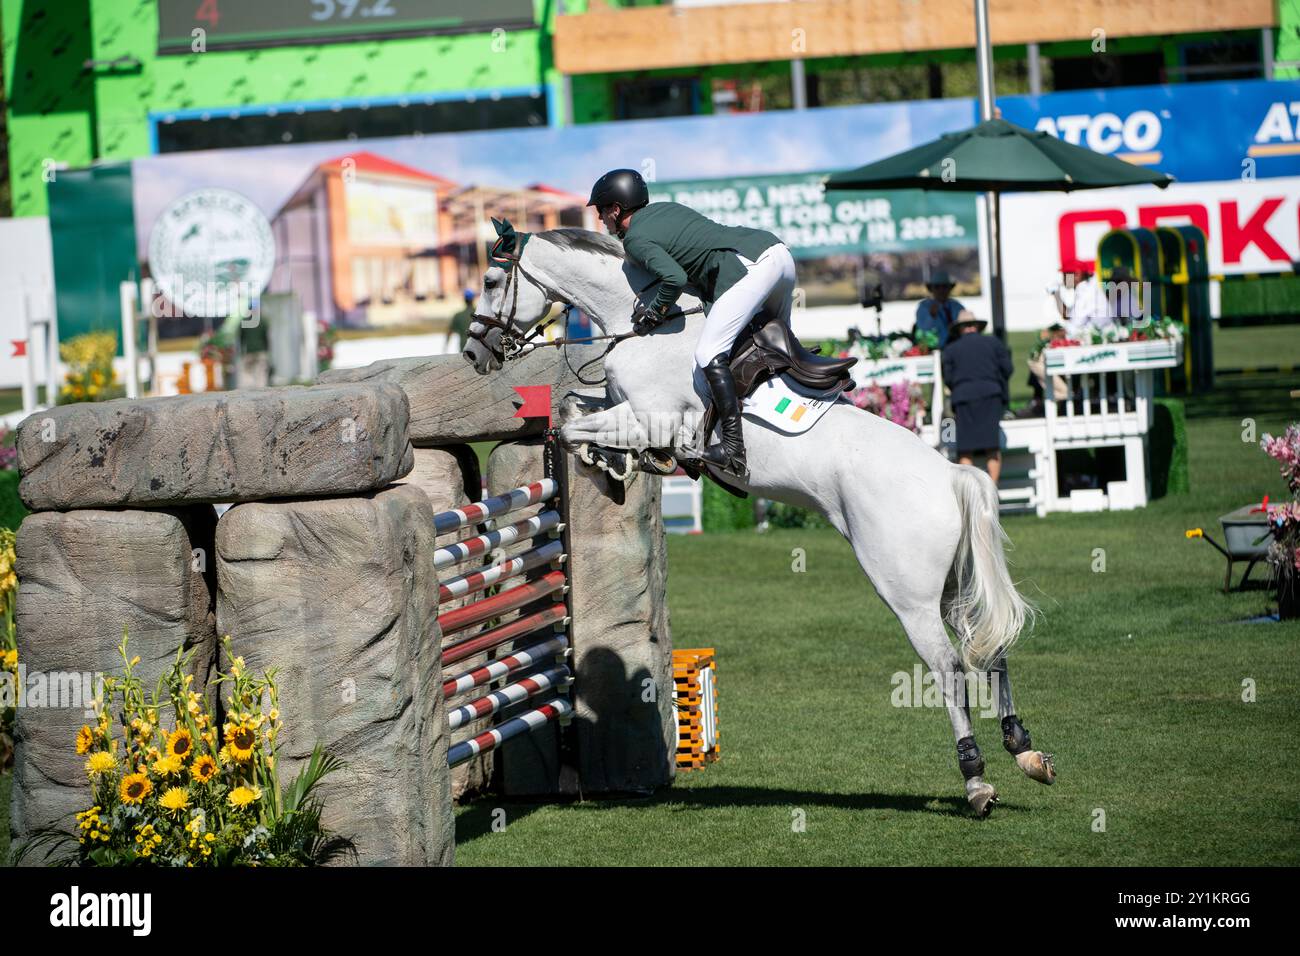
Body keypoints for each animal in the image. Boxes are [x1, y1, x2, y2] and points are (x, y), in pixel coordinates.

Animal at [462, 226, 1050, 816]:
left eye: (489, 281)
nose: (473, 353)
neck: (643, 327)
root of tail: (952, 475)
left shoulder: (649, 417)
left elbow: (573, 425)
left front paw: (615, 461)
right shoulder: (620, 406)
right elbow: (574, 409)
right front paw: (617, 462)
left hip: (908, 593)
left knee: (949, 669)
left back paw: (976, 781)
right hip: (952, 585)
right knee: (992, 652)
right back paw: (1024, 751)